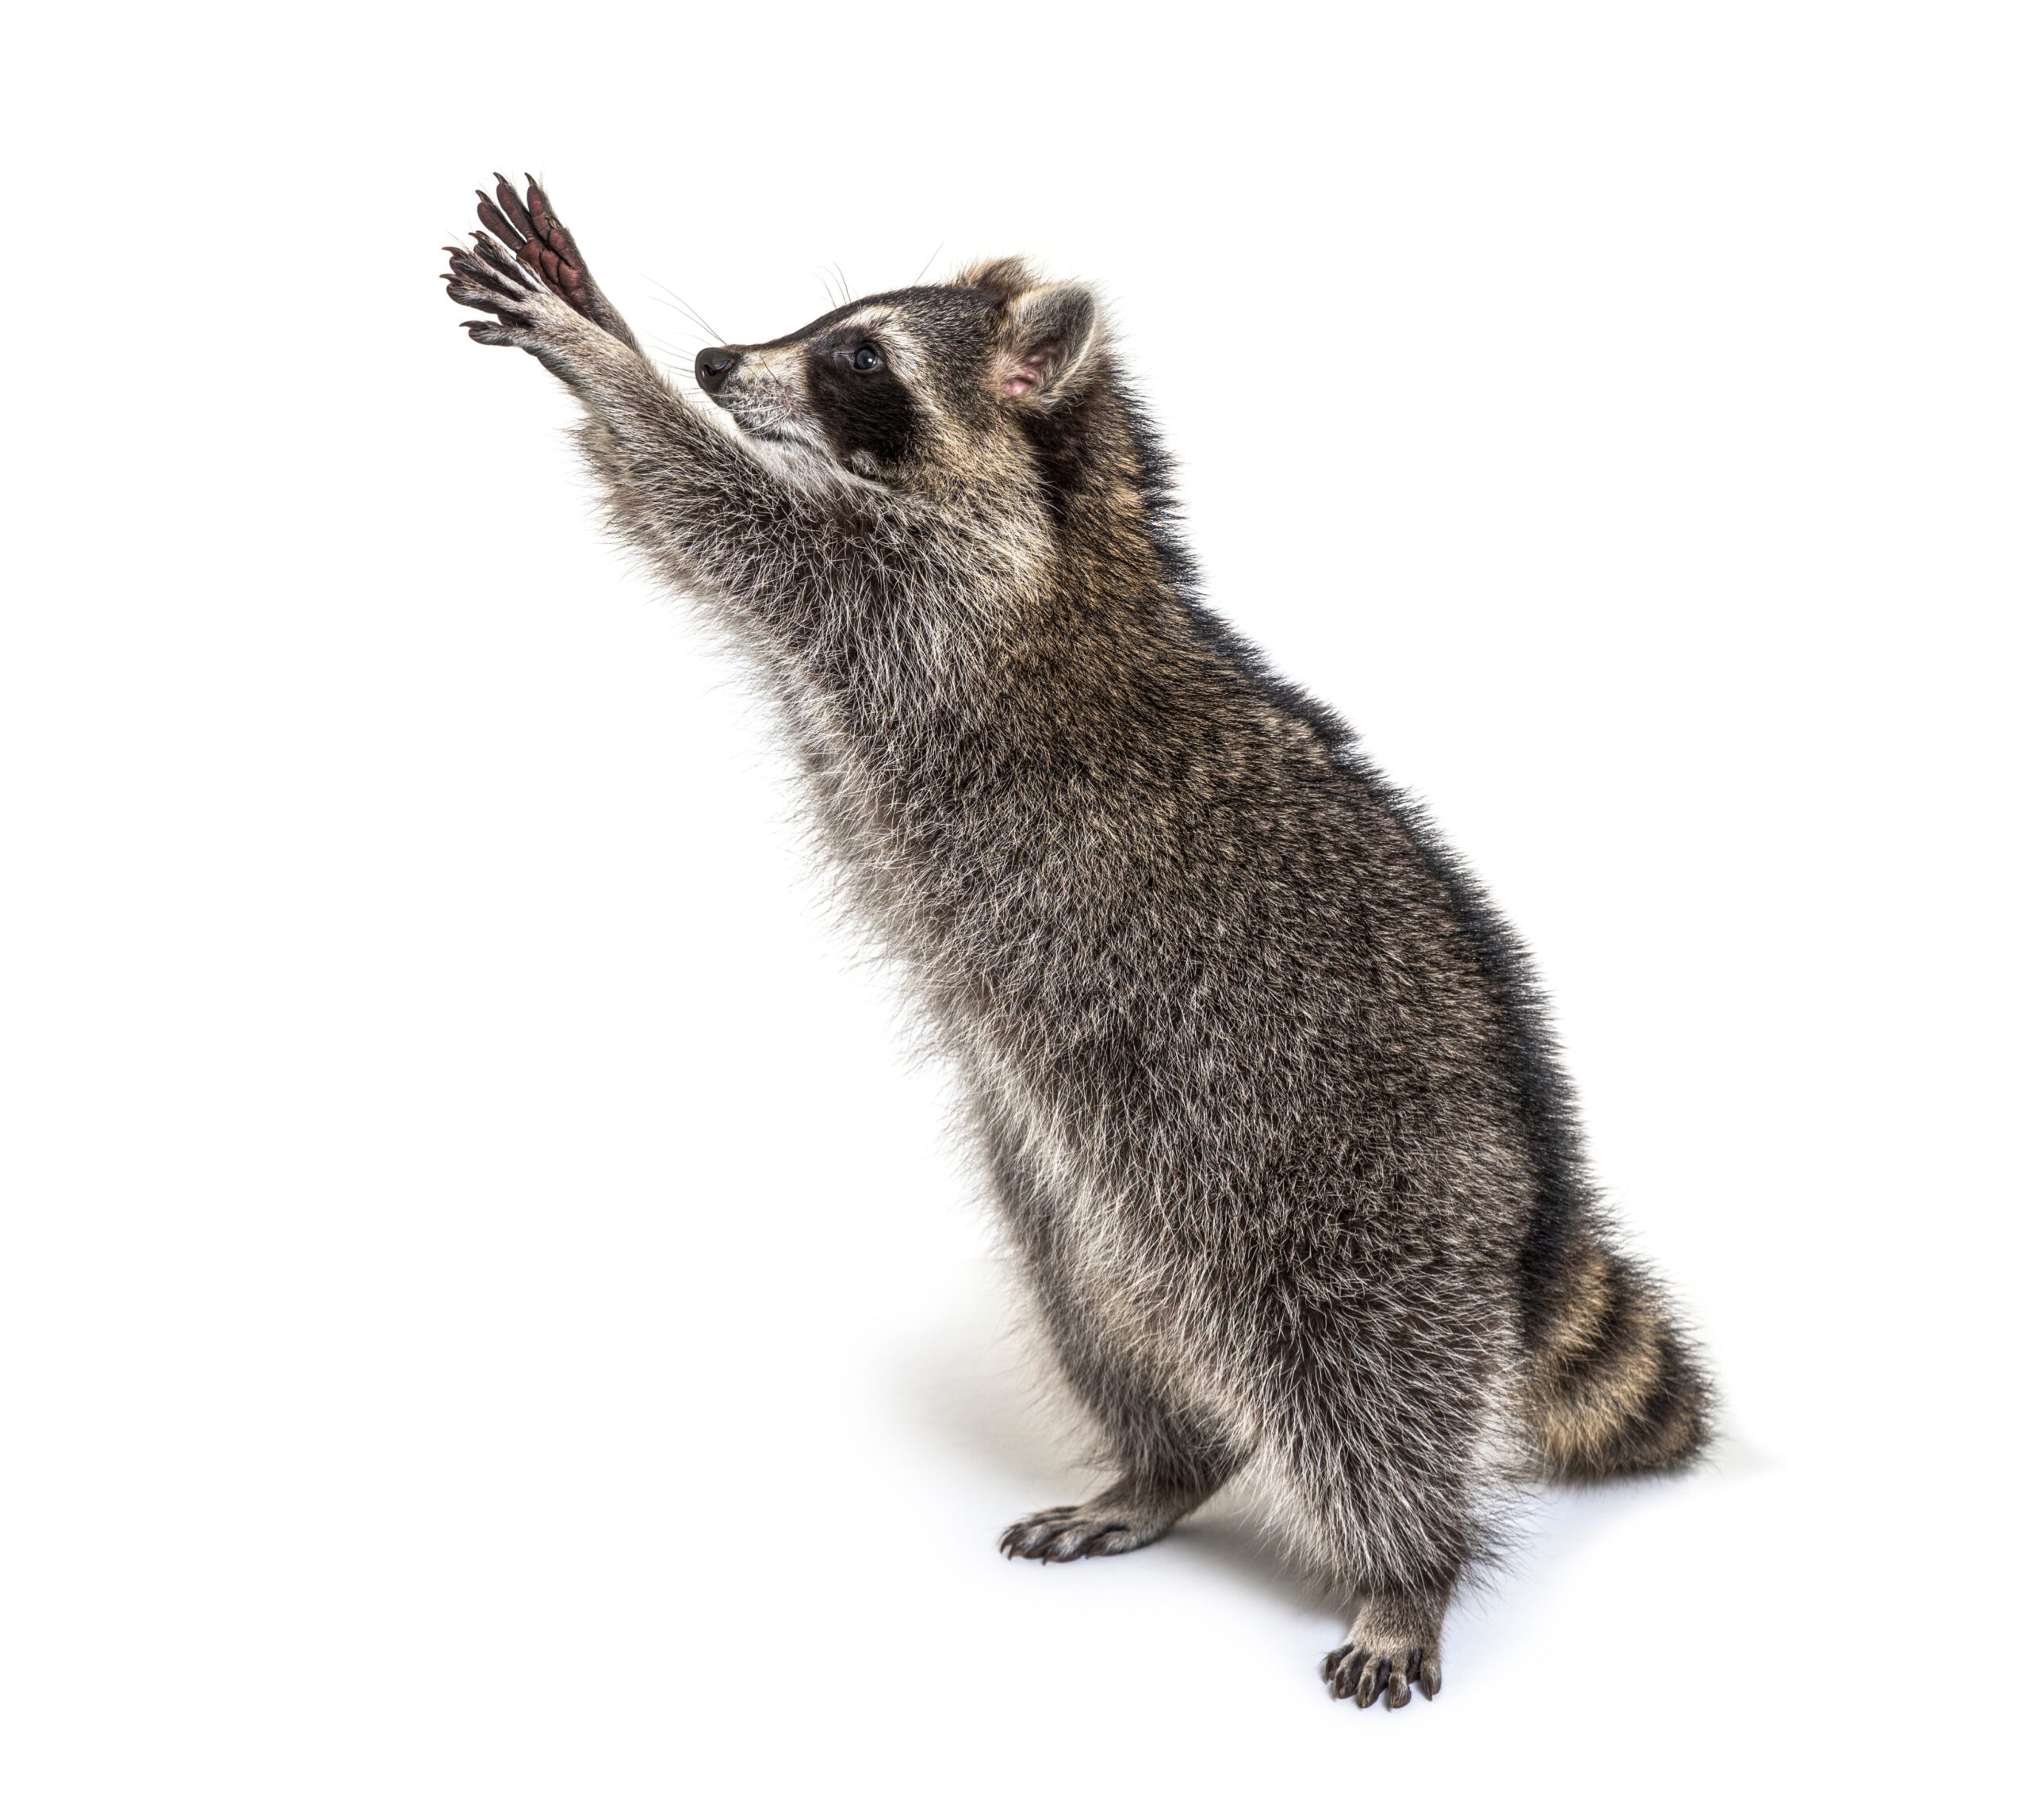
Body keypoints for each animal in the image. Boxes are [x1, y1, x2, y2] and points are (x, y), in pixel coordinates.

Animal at [443, 176, 1713, 1710]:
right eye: (827, 324)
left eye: (857, 354)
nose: (715, 361)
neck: (1061, 507)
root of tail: (1534, 1184)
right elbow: (689, 519)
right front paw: (615, 341)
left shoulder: (919, 602)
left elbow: (725, 517)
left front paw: (599, 349)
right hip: (1090, 1220)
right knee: (1115, 1338)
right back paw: (1164, 1466)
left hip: (1347, 1194)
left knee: (1363, 1387)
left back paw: (1409, 1568)